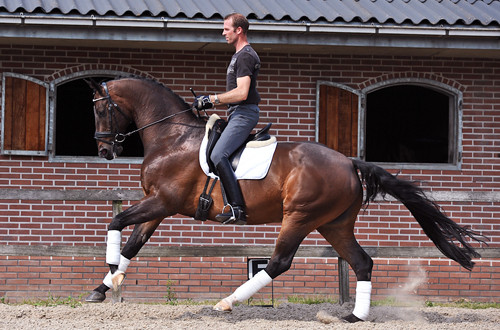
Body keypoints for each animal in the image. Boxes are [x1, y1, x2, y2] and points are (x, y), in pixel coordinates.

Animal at [86, 77, 484, 322]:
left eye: (100, 108)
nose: (105, 151)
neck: (172, 137)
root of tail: (349, 162)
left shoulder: (163, 202)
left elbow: (116, 222)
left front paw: (111, 273)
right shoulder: (157, 204)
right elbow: (133, 243)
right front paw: (103, 287)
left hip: (300, 217)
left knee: (278, 262)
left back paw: (227, 302)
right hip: (334, 223)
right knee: (362, 262)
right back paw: (353, 316)